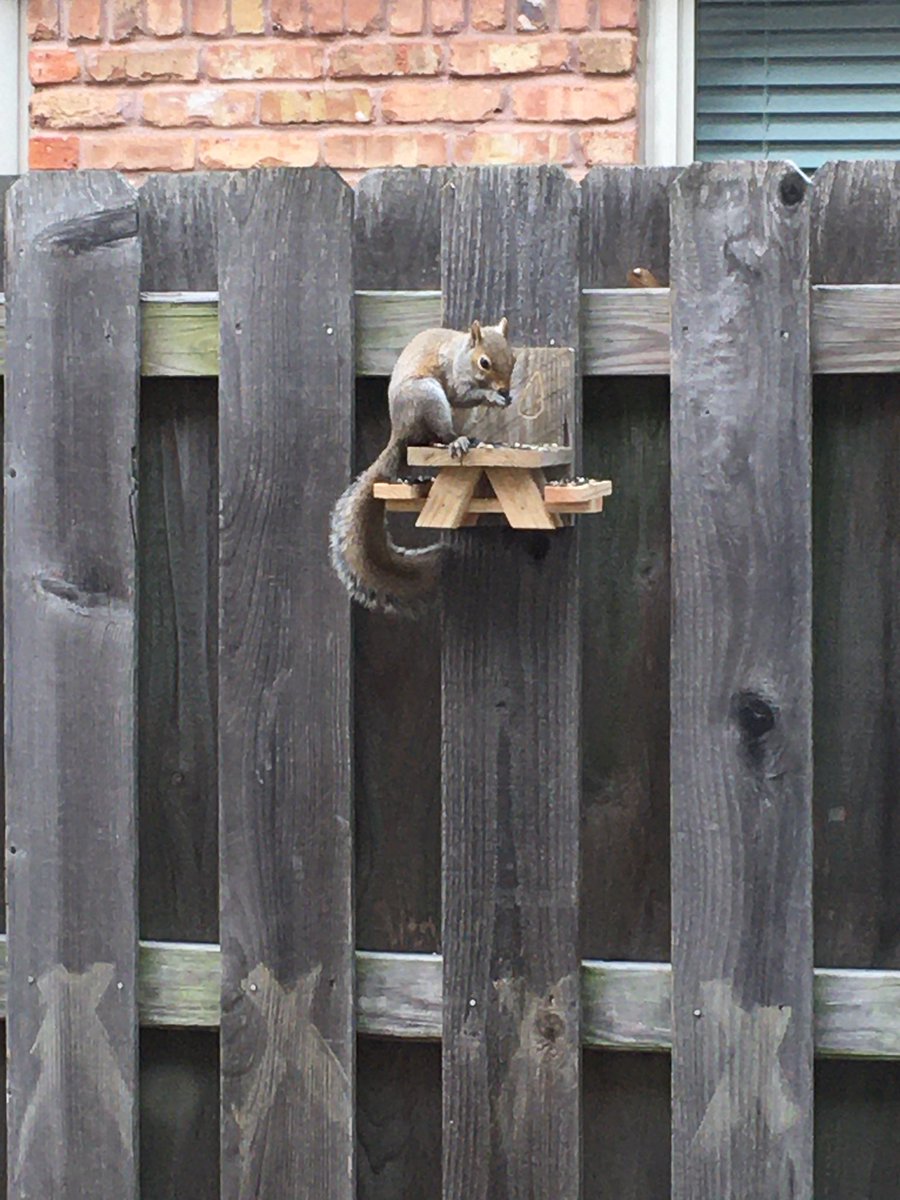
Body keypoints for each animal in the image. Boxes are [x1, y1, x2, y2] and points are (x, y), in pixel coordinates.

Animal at [329, 318, 516, 618]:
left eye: (514, 357)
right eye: (484, 362)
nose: (505, 390)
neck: (461, 354)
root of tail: (401, 432)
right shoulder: (454, 380)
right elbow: (465, 394)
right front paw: (492, 396)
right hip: (428, 396)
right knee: (440, 432)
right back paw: (457, 440)